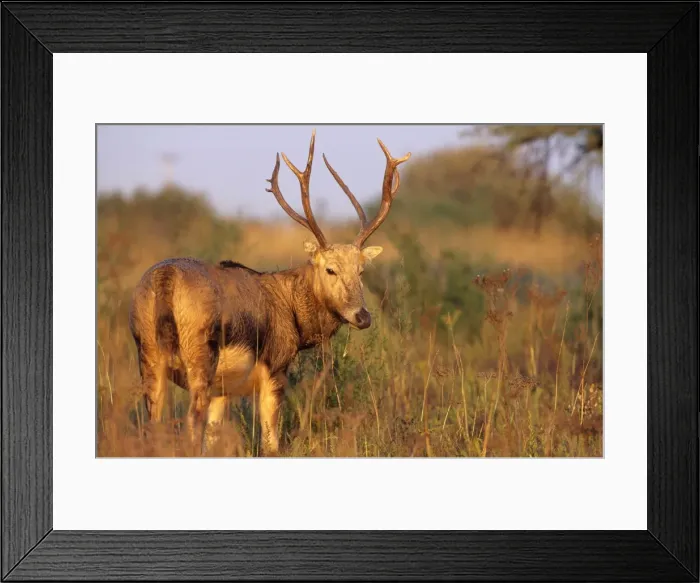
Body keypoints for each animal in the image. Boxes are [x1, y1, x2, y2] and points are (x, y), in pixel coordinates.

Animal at [128, 130, 411, 455]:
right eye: (330, 269)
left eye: (361, 271)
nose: (362, 316)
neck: (292, 313)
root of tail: (167, 278)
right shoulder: (275, 367)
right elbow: (271, 443)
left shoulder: (222, 389)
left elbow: (212, 440)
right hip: (200, 355)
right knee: (189, 425)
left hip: (148, 354)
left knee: (153, 426)